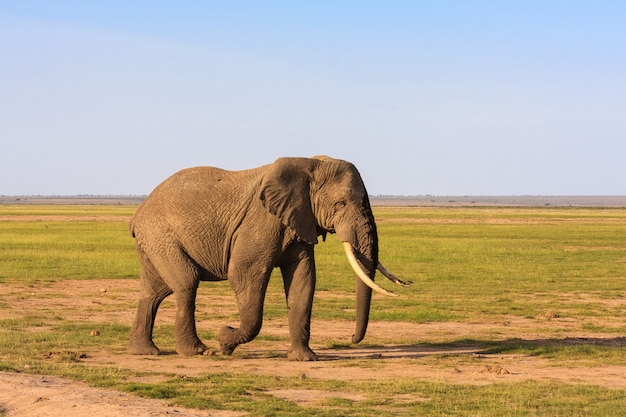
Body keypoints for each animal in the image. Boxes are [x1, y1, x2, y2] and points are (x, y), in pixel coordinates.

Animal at [127, 154, 410, 360]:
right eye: (340, 204)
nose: (351, 338)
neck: (309, 164)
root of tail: (138, 214)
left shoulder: (300, 222)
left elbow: (303, 282)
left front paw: (304, 359)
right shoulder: (260, 222)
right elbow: (244, 274)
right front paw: (224, 341)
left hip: (154, 241)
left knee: (155, 292)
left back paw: (146, 352)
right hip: (161, 235)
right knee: (186, 283)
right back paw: (199, 352)